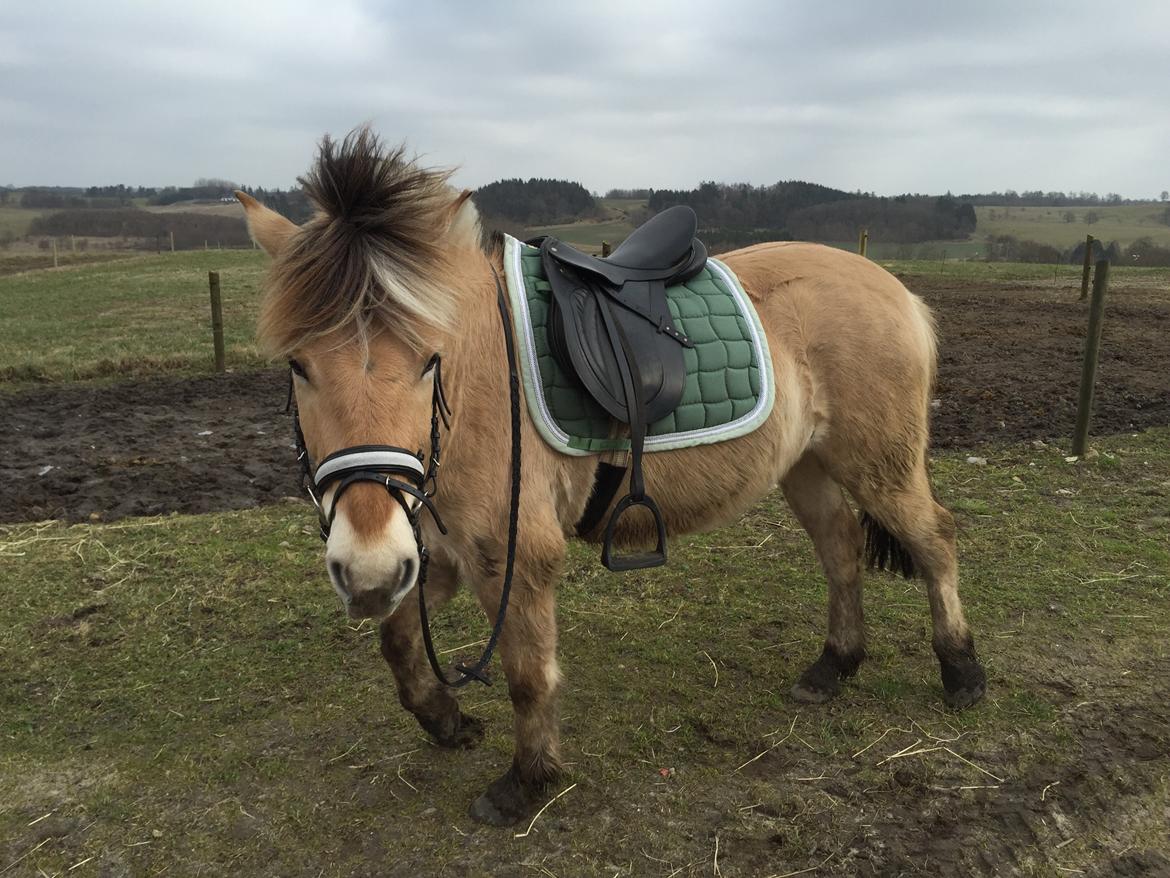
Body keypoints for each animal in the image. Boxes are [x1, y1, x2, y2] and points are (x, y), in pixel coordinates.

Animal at [237, 127, 987, 828]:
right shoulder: (436, 553)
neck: (479, 385)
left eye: (430, 359)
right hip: (807, 465)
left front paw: (526, 783)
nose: (363, 568)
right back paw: (833, 667)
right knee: (841, 548)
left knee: (934, 541)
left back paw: (961, 671)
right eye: (299, 365)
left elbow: (527, 676)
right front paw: (447, 721)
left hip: (879, 463)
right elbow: (396, 640)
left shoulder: (513, 554)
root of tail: (893, 288)